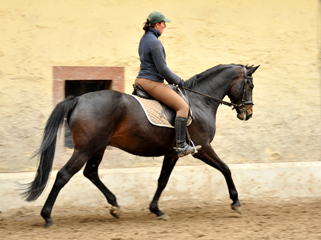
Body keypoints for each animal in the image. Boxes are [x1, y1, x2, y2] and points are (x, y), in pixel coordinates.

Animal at [21, 63, 258, 227]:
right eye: (250, 85)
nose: (248, 113)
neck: (200, 102)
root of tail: (78, 99)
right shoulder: (202, 148)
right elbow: (226, 168)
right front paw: (236, 202)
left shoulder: (172, 153)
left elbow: (162, 181)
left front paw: (156, 210)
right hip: (85, 149)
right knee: (63, 175)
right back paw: (47, 217)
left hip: (98, 147)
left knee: (91, 173)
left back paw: (115, 205)